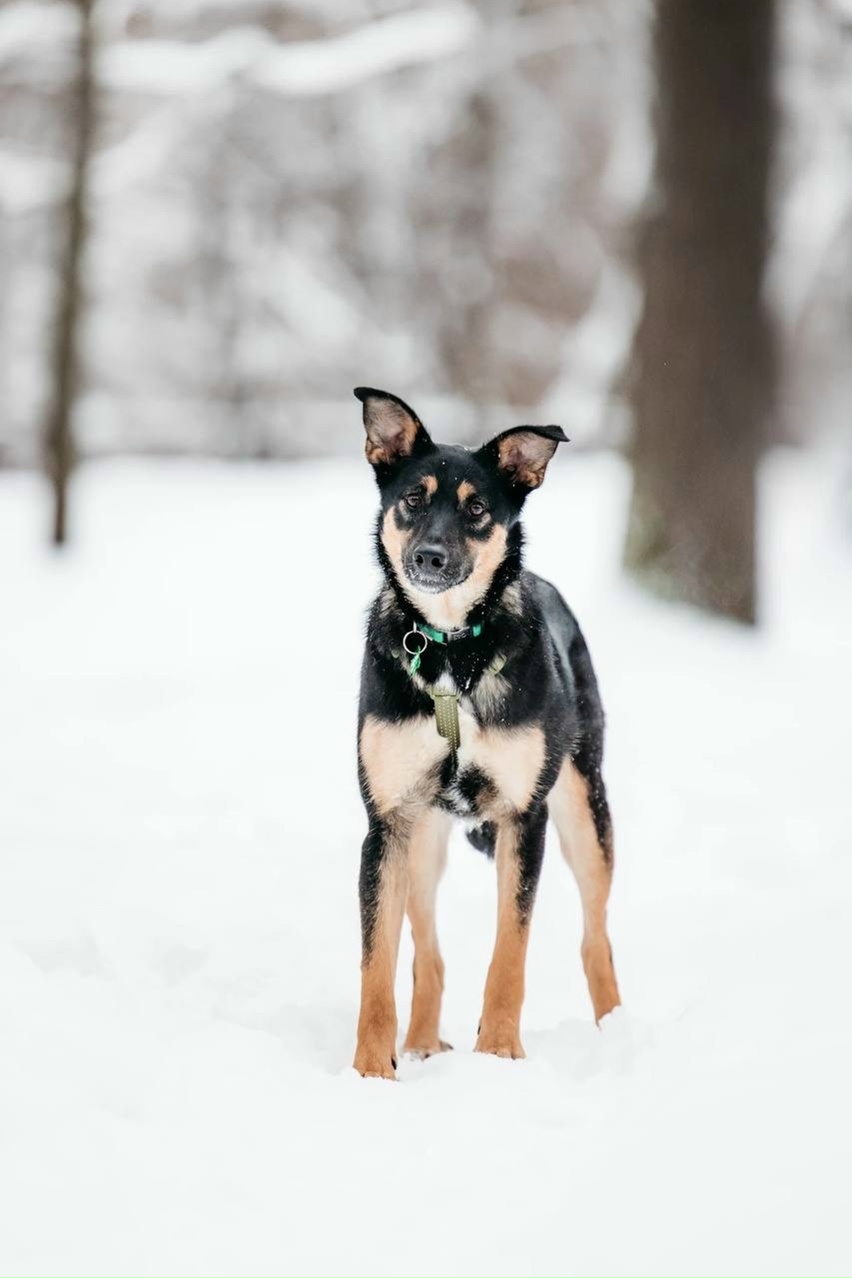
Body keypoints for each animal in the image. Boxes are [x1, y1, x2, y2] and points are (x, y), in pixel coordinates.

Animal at [353, 387, 620, 1079]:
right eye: (413, 499)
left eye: (477, 509)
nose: (429, 557)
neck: (451, 649)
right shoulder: (387, 823)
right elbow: (377, 965)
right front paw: (369, 1071)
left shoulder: (526, 819)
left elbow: (510, 952)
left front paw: (498, 1050)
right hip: (423, 841)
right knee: (428, 953)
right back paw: (420, 1042)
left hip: (584, 808)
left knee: (595, 936)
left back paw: (616, 1030)